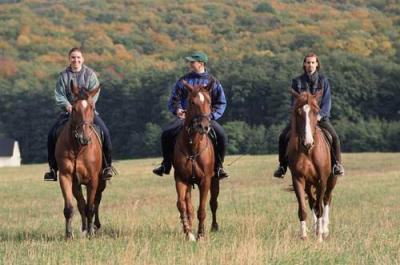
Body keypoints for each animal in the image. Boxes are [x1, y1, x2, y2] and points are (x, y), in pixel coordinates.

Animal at [56, 80, 107, 237]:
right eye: (73, 108)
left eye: (92, 107)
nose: (83, 138)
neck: (78, 148)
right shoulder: (65, 177)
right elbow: (70, 208)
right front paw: (69, 235)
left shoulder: (93, 179)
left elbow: (91, 206)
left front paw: (91, 233)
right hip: (76, 185)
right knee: (81, 203)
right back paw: (84, 228)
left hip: (101, 182)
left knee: (96, 201)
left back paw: (95, 226)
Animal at [173, 79, 220, 240]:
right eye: (192, 102)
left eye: (209, 101)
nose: (203, 126)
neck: (192, 145)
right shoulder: (181, 179)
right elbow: (182, 205)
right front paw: (189, 233)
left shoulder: (205, 180)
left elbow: (202, 208)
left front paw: (200, 234)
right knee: (189, 206)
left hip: (215, 180)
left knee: (213, 203)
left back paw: (214, 227)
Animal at [286, 89, 340, 241]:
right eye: (298, 112)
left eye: (316, 112)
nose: (308, 143)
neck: (308, 152)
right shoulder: (298, 179)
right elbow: (303, 208)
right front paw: (304, 236)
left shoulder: (322, 180)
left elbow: (320, 207)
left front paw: (320, 236)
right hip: (309, 184)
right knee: (312, 202)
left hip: (331, 180)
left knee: (326, 199)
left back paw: (324, 230)